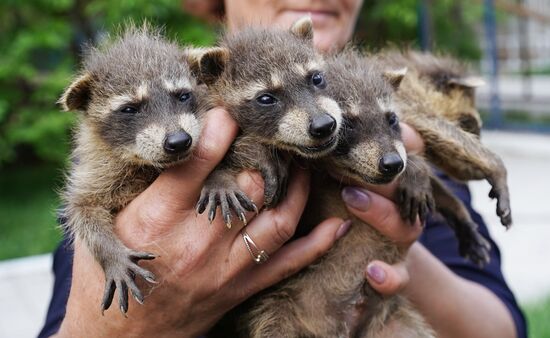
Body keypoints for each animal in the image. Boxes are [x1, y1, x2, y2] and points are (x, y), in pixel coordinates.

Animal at [59, 26, 207, 314]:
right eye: (129, 109)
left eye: (183, 96)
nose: (178, 141)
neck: (148, 165)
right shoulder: (96, 173)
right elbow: (83, 211)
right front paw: (111, 254)